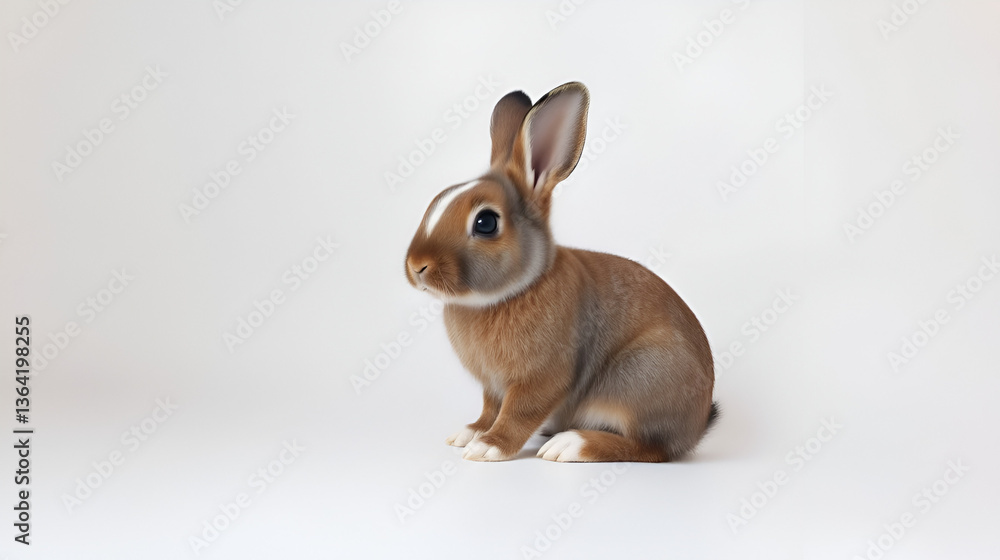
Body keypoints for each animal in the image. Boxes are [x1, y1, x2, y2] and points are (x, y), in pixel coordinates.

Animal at [404, 82, 718, 462]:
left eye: (486, 222)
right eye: (437, 200)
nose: (416, 266)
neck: (515, 289)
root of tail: (697, 426)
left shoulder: (541, 378)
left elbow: (517, 413)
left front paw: (488, 447)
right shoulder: (492, 386)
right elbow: (491, 409)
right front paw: (470, 433)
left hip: (640, 378)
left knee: (650, 448)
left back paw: (569, 444)